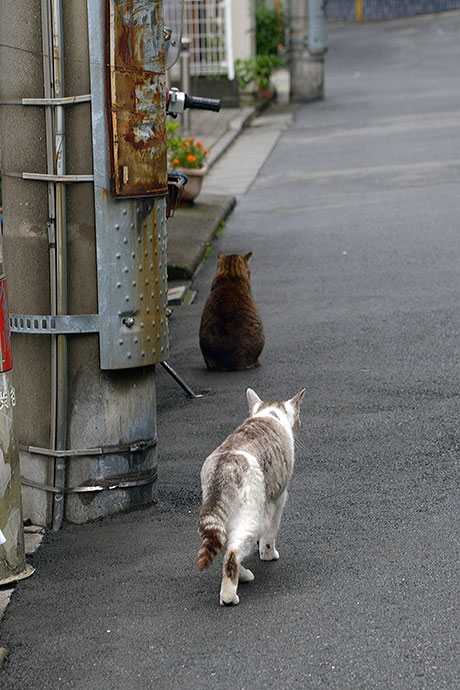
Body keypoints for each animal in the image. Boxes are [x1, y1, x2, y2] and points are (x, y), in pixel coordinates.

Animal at [196, 384, 304, 604]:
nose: (300, 424)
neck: (269, 414)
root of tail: (222, 466)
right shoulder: (278, 498)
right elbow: (271, 532)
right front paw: (268, 553)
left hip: (224, 518)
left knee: (224, 548)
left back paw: (244, 575)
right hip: (251, 517)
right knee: (232, 553)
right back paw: (229, 596)